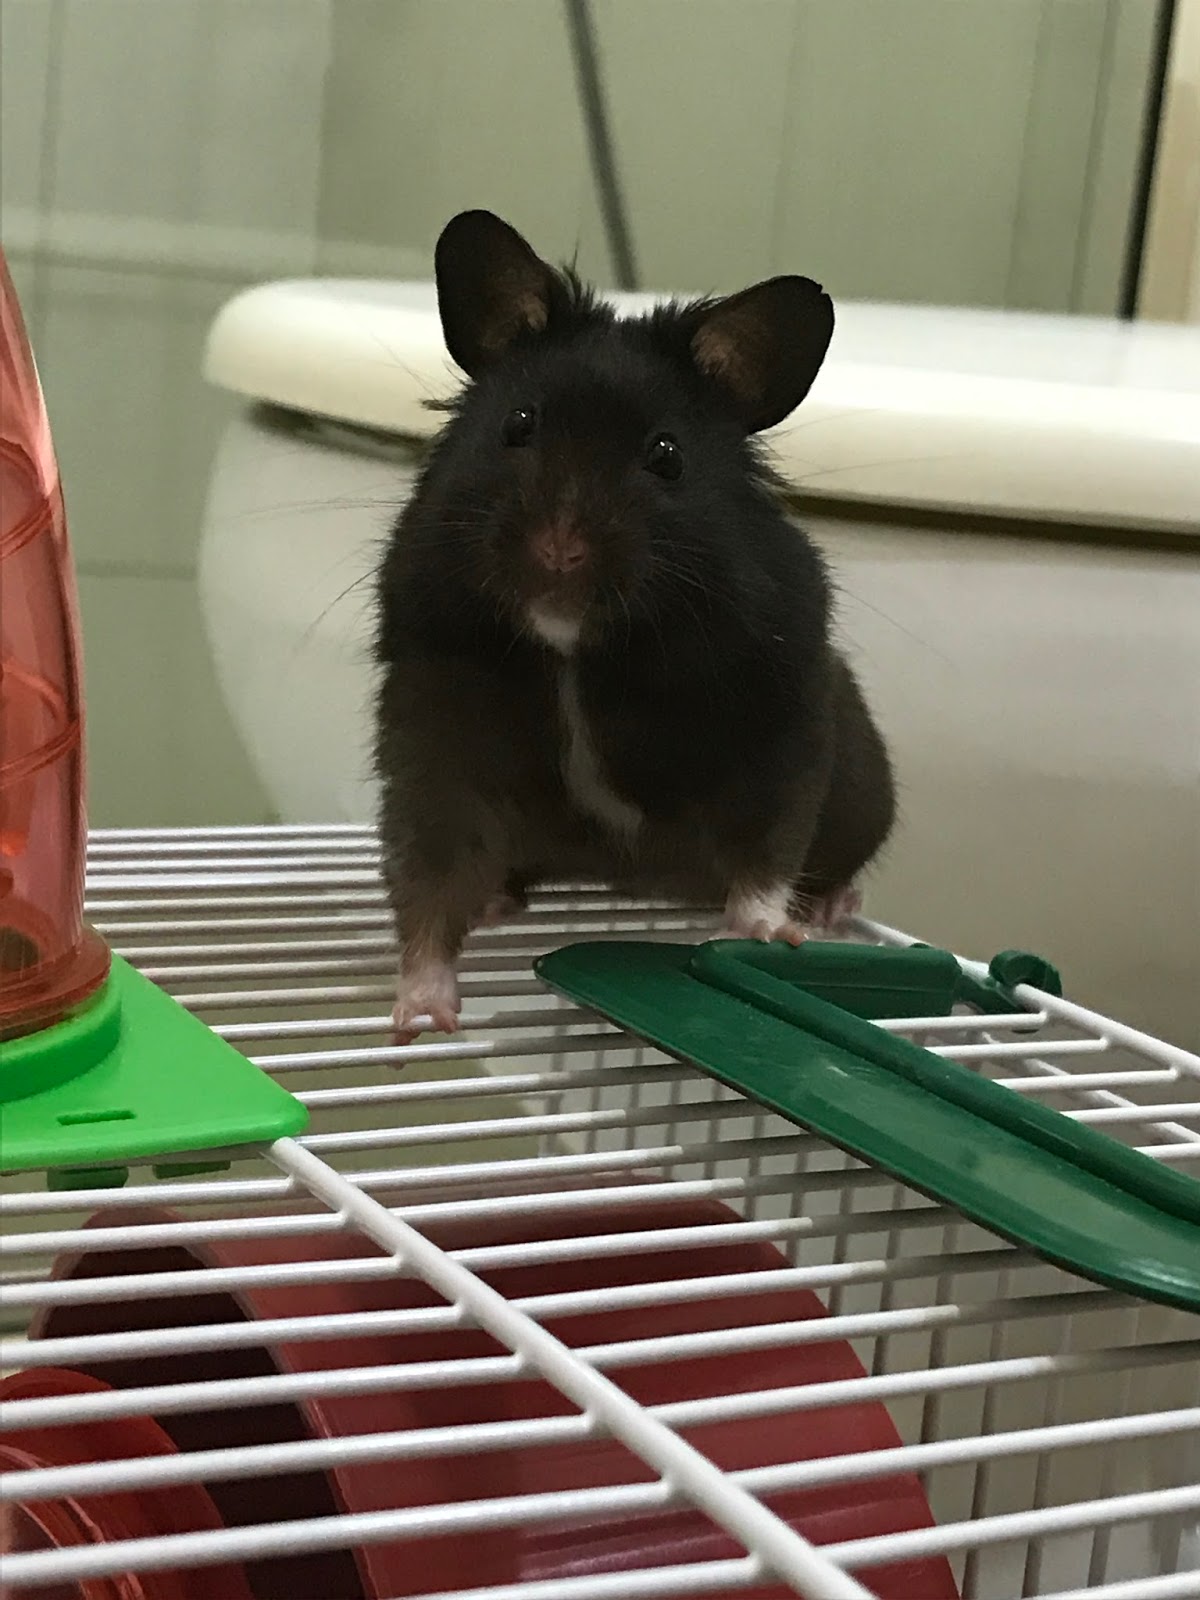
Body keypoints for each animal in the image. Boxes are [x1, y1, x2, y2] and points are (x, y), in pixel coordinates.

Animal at [376, 209, 895, 1040]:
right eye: (517, 425)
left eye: (667, 455)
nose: (559, 549)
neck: (573, 647)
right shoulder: (432, 725)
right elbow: (431, 877)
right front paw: (417, 1022)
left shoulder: (777, 713)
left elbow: (766, 846)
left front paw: (767, 934)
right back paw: (495, 905)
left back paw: (828, 910)